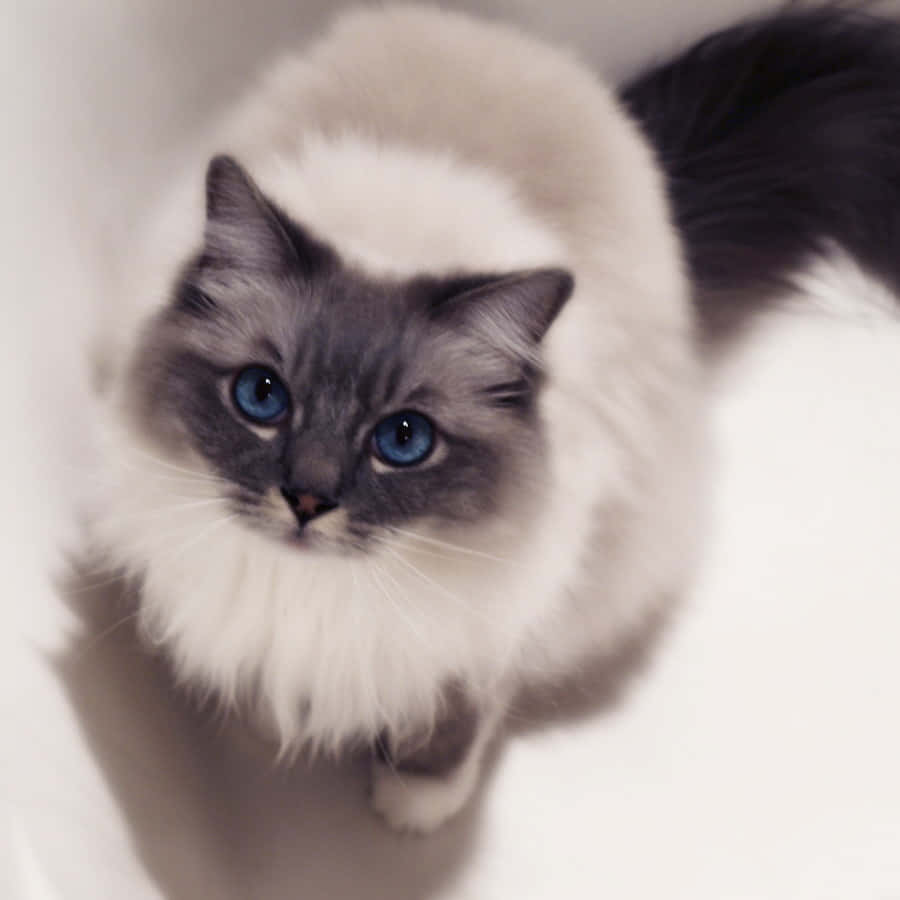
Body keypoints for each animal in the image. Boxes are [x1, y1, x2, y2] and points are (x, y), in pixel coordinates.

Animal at [93, 5, 900, 836]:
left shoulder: (501, 610)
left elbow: (458, 711)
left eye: (403, 440)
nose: (307, 501)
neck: (319, 593)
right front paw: (263, 718)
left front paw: (414, 803)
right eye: (262, 396)